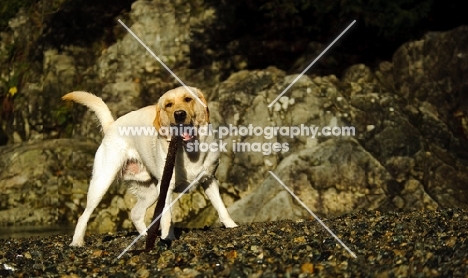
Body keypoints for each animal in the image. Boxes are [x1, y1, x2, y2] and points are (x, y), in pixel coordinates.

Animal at [62, 86, 238, 245]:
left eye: (188, 99)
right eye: (168, 104)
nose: (179, 114)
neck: (190, 150)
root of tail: (111, 125)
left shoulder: (209, 180)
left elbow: (221, 207)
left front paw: (232, 225)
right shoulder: (167, 187)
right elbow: (167, 217)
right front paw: (167, 237)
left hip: (151, 191)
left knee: (135, 213)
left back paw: (145, 236)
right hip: (102, 183)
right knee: (84, 215)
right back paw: (77, 241)